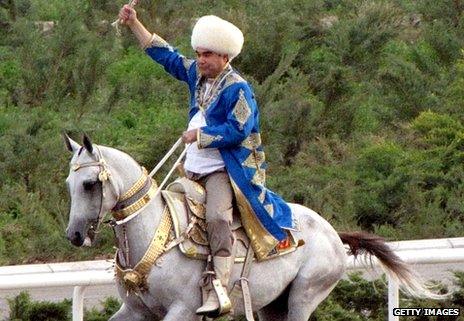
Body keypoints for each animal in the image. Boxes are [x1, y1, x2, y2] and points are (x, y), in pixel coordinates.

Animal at [63, 134, 436, 318]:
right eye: (69, 183)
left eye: (89, 184)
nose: (74, 235)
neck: (157, 232)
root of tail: (332, 233)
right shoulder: (135, 311)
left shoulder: (182, 310)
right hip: (274, 307)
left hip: (304, 297)